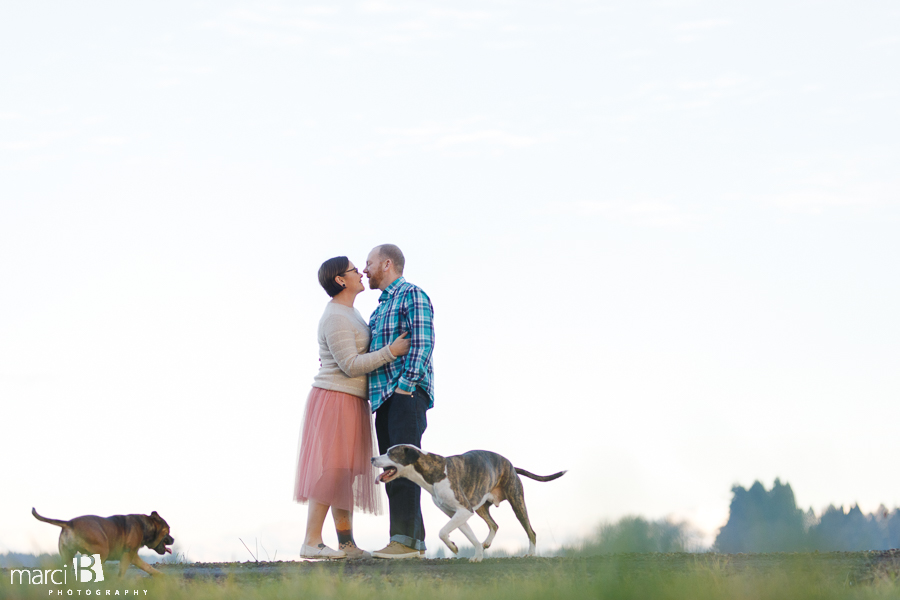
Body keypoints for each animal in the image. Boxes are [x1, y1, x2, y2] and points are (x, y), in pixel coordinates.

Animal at [33, 506, 175, 576]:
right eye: (168, 530)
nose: (173, 539)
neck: (146, 526)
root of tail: (70, 523)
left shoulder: (133, 556)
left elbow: (147, 567)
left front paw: (161, 576)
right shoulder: (128, 554)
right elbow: (122, 572)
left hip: (67, 556)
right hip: (102, 552)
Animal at [370, 442, 568, 560]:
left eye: (390, 453)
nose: (372, 458)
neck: (434, 471)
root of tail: (511, 466)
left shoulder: (464, 510)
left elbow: (442, 532)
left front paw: (453, 548)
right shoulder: (458, 513)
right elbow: (471, 536)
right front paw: (478, 554)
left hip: (516, 502)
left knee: (530, 531)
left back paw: (531, 553)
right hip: (481, 508)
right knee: (494, 524)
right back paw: (487, 543)